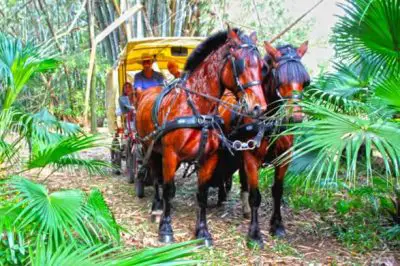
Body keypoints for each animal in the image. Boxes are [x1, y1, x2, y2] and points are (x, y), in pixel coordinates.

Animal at [135, 29, 266, 245]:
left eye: (262, 66)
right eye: (240, 64)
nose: (258, 107)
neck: (197, 109)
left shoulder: (208, 158)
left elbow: (202, 194)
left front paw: (203, 231)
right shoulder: (170, 154)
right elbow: (168, 189)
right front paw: (166, 229)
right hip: (150, 148)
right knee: (156, 179)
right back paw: (156, 208)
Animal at [212, 40, 310, 246]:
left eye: (306, 81)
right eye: (279, 78)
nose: (296, 118)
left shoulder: (284, 158)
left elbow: (277, 191)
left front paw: (277, 226)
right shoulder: (251, 157)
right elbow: (256, 196)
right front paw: (255, 235)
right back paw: (222, 196)